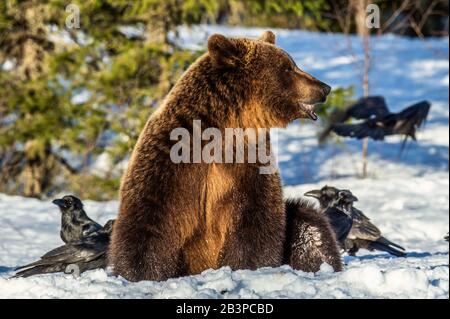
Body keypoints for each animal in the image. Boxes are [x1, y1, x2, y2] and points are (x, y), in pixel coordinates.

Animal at [108, 30, 342, 282]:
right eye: (288, 68)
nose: (325, 88)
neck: (223, 132)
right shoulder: (172, 161)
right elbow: (148, 223)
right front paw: (141, 273)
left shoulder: (248, 164)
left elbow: (255, 222)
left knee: (309, 222)